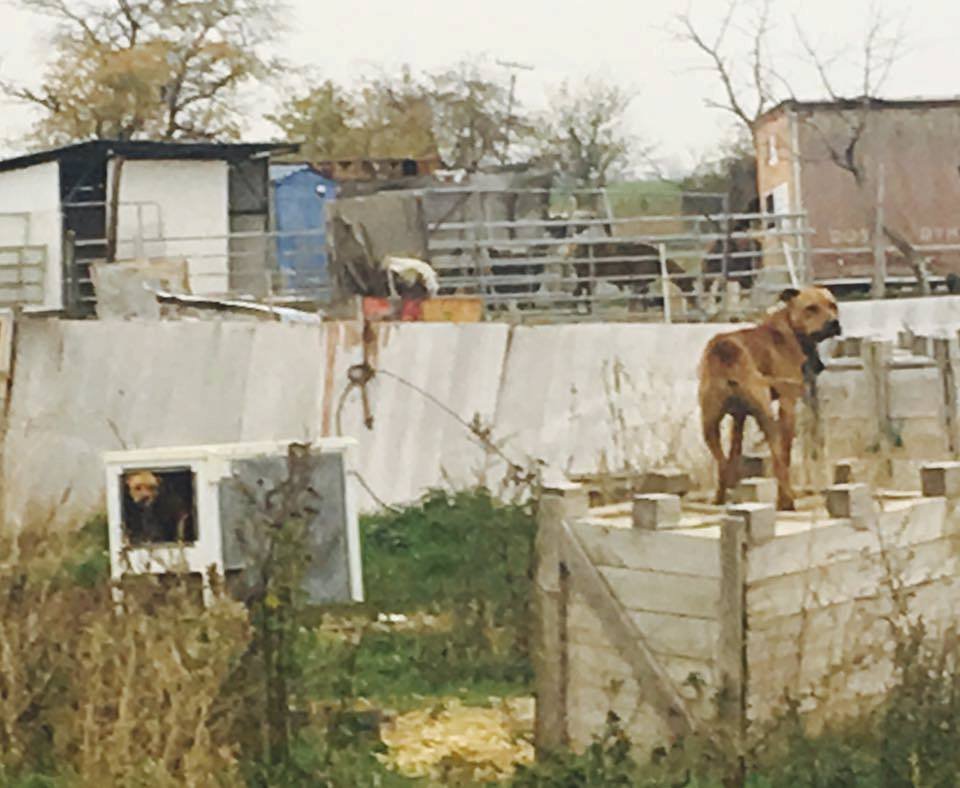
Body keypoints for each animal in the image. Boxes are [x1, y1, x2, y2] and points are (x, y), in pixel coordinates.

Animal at [696, 284, 840, 510]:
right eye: (811, 308)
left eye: (833, 306)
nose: (834, 323)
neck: (792, 329)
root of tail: (726, 351)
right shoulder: (787, 404)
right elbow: (785, 455)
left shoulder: (739, 417)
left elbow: (734, 452)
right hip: (767, 417)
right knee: (778, 459)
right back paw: (786, 500)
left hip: (708, 423)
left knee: (722, 462)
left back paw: (720, 497)